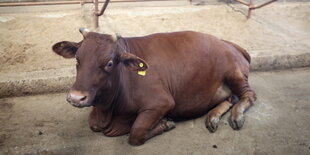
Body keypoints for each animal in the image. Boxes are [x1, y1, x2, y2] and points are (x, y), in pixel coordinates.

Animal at [52, 28, 256, 146]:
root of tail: (227, 42)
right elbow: (92, 124)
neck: (107, 111)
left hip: (234, 73)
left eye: (109, 63)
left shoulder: (162, 102)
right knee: (230, 98)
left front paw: (165, 123)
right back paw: (213, 117)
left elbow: (136, 132)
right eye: (77, 59)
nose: (76, 97)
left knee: (249, 96)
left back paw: (236, 116)